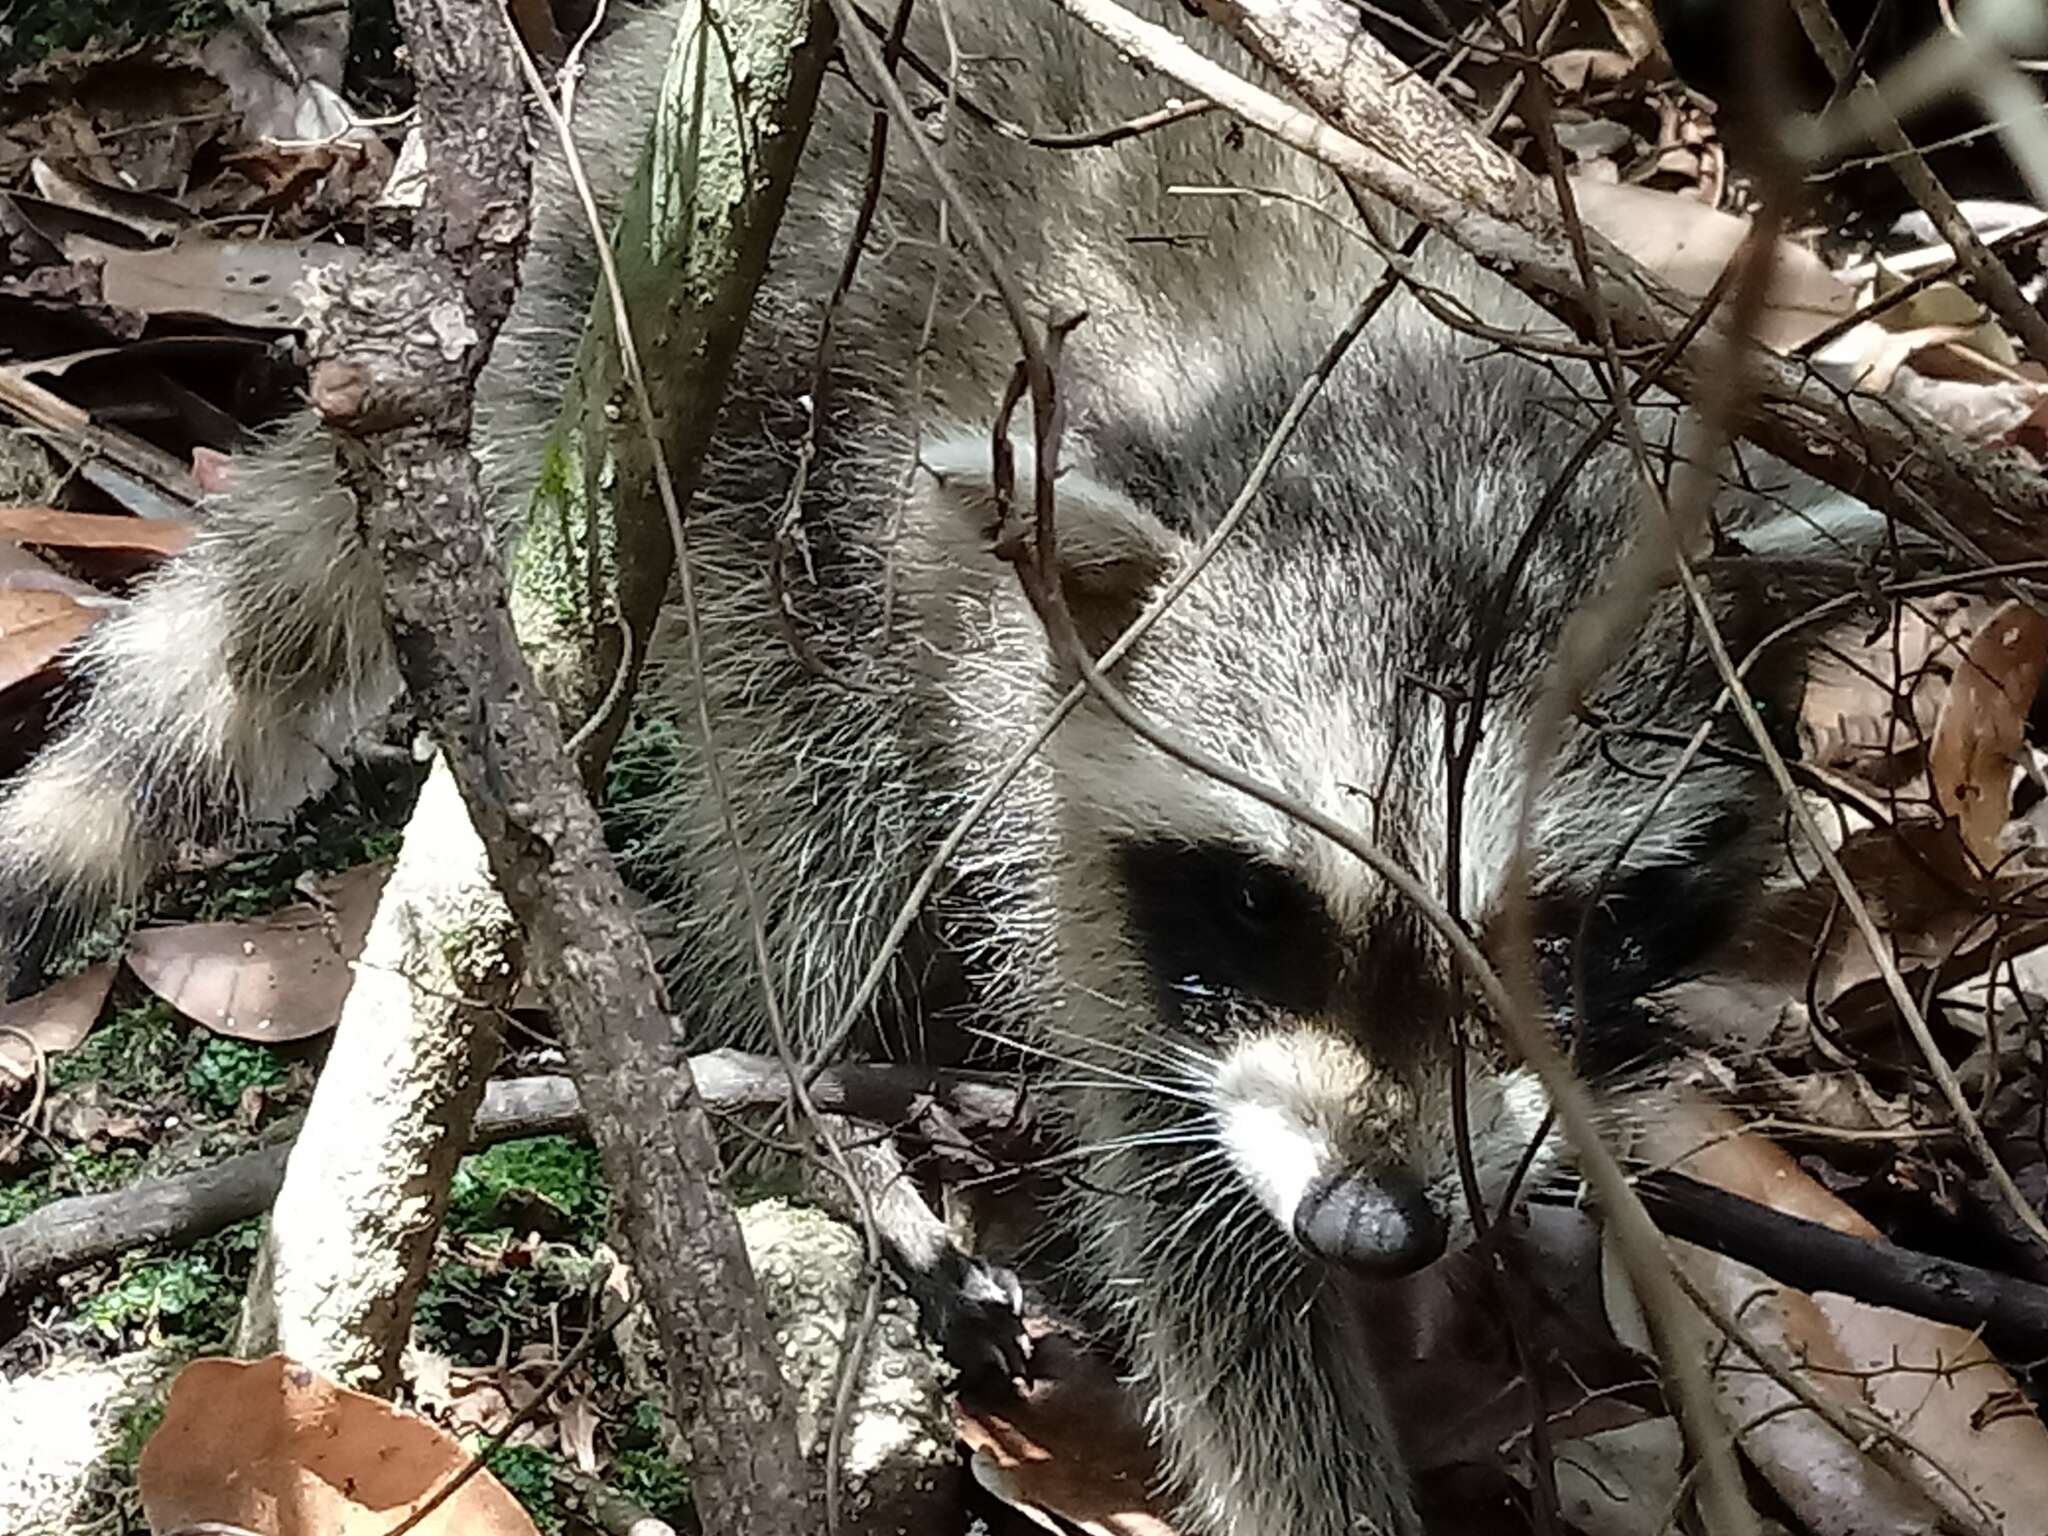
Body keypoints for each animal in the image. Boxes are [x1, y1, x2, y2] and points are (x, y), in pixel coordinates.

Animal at [0, 6, 1884, 1531]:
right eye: (1261, 904)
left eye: (1561, 939)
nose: (1374, 1228)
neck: (1405, 436)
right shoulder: (1085, 849)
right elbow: (1192, 1241)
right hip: (738, 460)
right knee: (794, 830)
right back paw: (805, 1110)